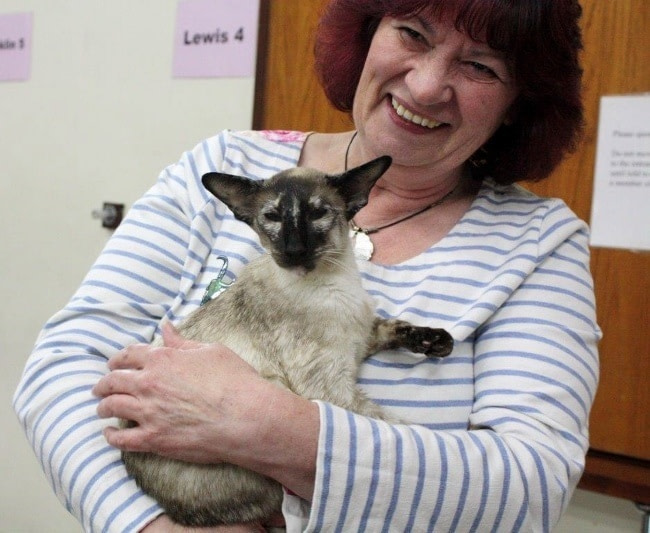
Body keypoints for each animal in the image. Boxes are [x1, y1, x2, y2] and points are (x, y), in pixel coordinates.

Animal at [121, 155, 454, 527]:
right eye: (273, 218)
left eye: (317, 213)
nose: (294, 250)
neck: (338, 284)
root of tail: (175, 509)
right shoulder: (331, 389)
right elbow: (394, 427)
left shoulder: (360, 339)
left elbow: (393, 325)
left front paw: (437, 342)